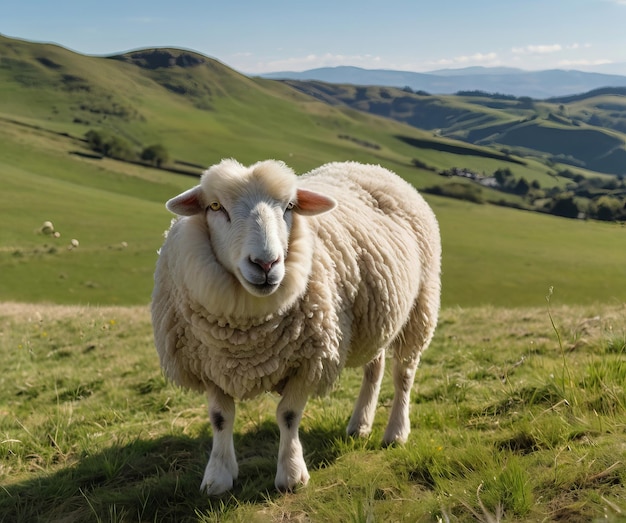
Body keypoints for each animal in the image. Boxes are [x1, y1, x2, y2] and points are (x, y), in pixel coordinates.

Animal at [151, 159, 438, 496]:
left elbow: (288, 415)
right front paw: (218, 476)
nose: (266, 264)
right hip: (376, 317)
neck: (245, 333)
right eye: (215, 206)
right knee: (374, 368)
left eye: (289, 206)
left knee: (403, 374)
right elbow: (220, 417)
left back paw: (396, 432)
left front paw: (291, 475)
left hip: (420, 309)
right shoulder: (208, 363)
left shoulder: (309, 360)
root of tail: (370, 166)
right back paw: (360, 424)